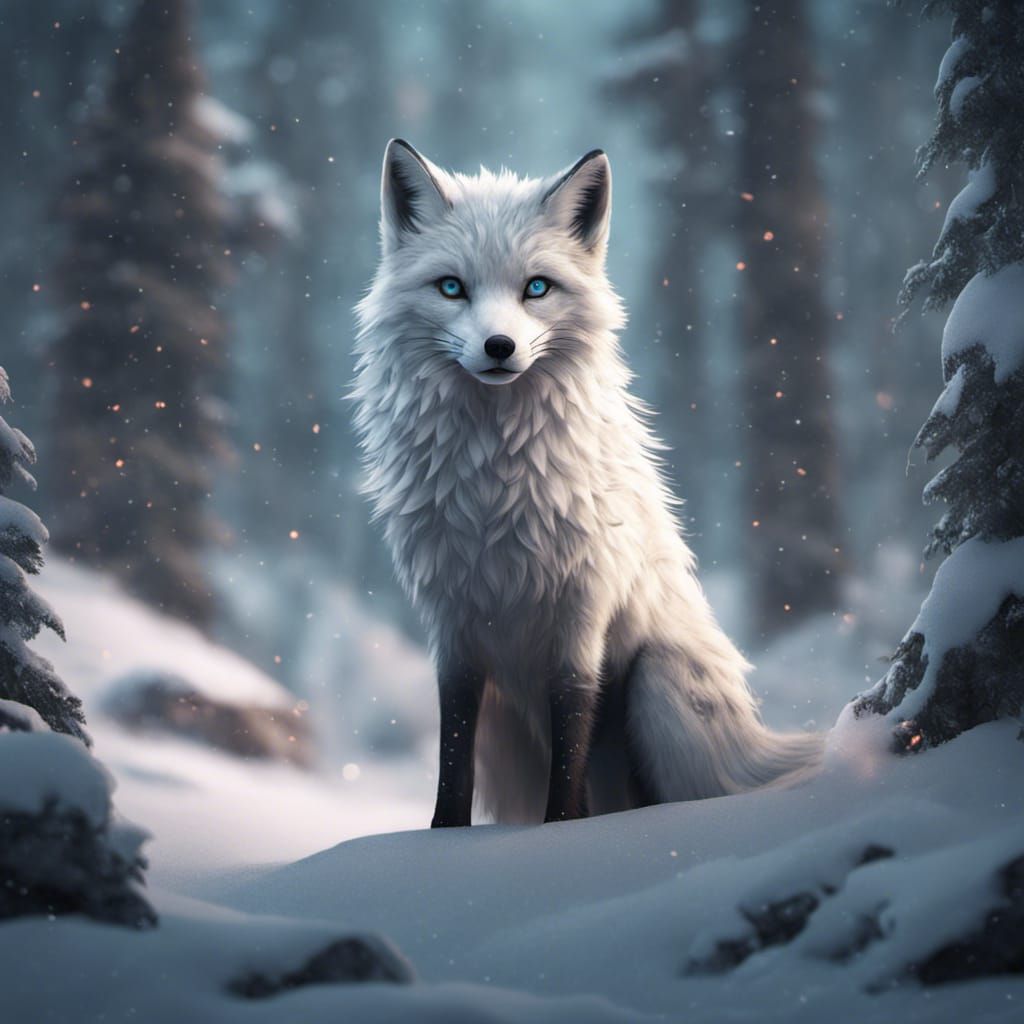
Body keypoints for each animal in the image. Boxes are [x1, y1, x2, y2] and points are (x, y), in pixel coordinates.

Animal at [353, 139, 823, 827]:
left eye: (536, 288)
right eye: (451, 288)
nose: (499, 346)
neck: (495, 489)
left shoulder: (582, 613)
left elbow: (572, 735)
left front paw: (564, 832)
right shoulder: (453, 623)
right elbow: (451, 752)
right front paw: (441, 839)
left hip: (656, 683)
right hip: (509, 729)